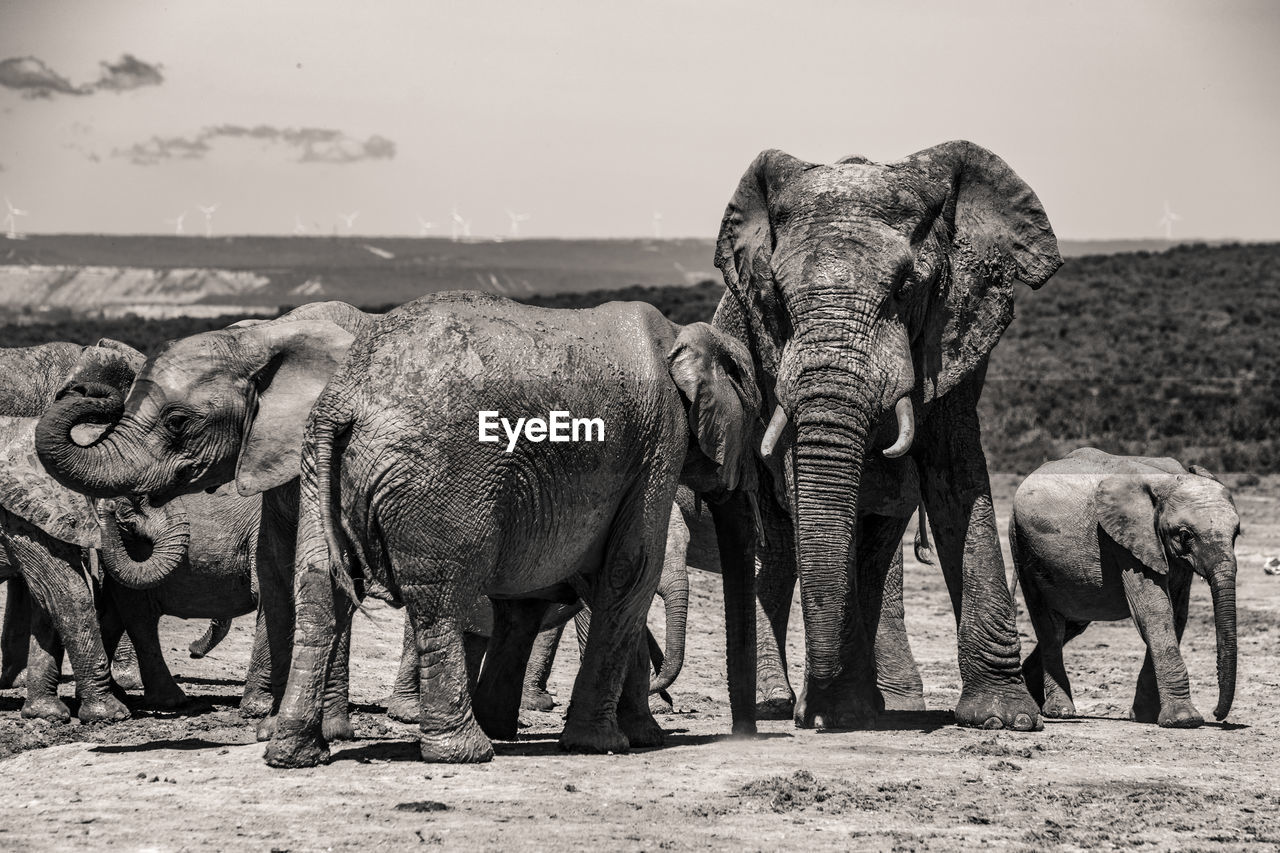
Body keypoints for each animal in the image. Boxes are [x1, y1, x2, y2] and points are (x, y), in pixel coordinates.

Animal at [261, 290, 757, 763]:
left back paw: (294, 754)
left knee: (319, 588)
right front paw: (604, 744)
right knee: (441, 600)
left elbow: (546, 594)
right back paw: (465, 752)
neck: (680, 333)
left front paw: (629, 737)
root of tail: (343, 401)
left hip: (317, 469)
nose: (744, 736)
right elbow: (631, 571)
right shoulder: (659, 442)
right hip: (440, 479)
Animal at [716, 142, 1064, 727]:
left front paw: (1004, 718)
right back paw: (778, 704)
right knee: (783, 545)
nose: (810, 711)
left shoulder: (951, 338)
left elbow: (957, 480)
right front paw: (837, 712)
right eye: (778, 299)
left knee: (871, 539)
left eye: (904, 290)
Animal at [1008, 445, 1239, 722]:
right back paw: (1060, 711)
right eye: (1185, 535)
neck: (1167, 480)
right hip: (1023, 544)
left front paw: (1144, 717)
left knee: (1071, 625)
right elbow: (1154, 611)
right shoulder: (1127, 538)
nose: (1216, 714)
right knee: (1049, 626)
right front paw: (1185, 720)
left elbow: (1176, 615)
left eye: (1237, 533)